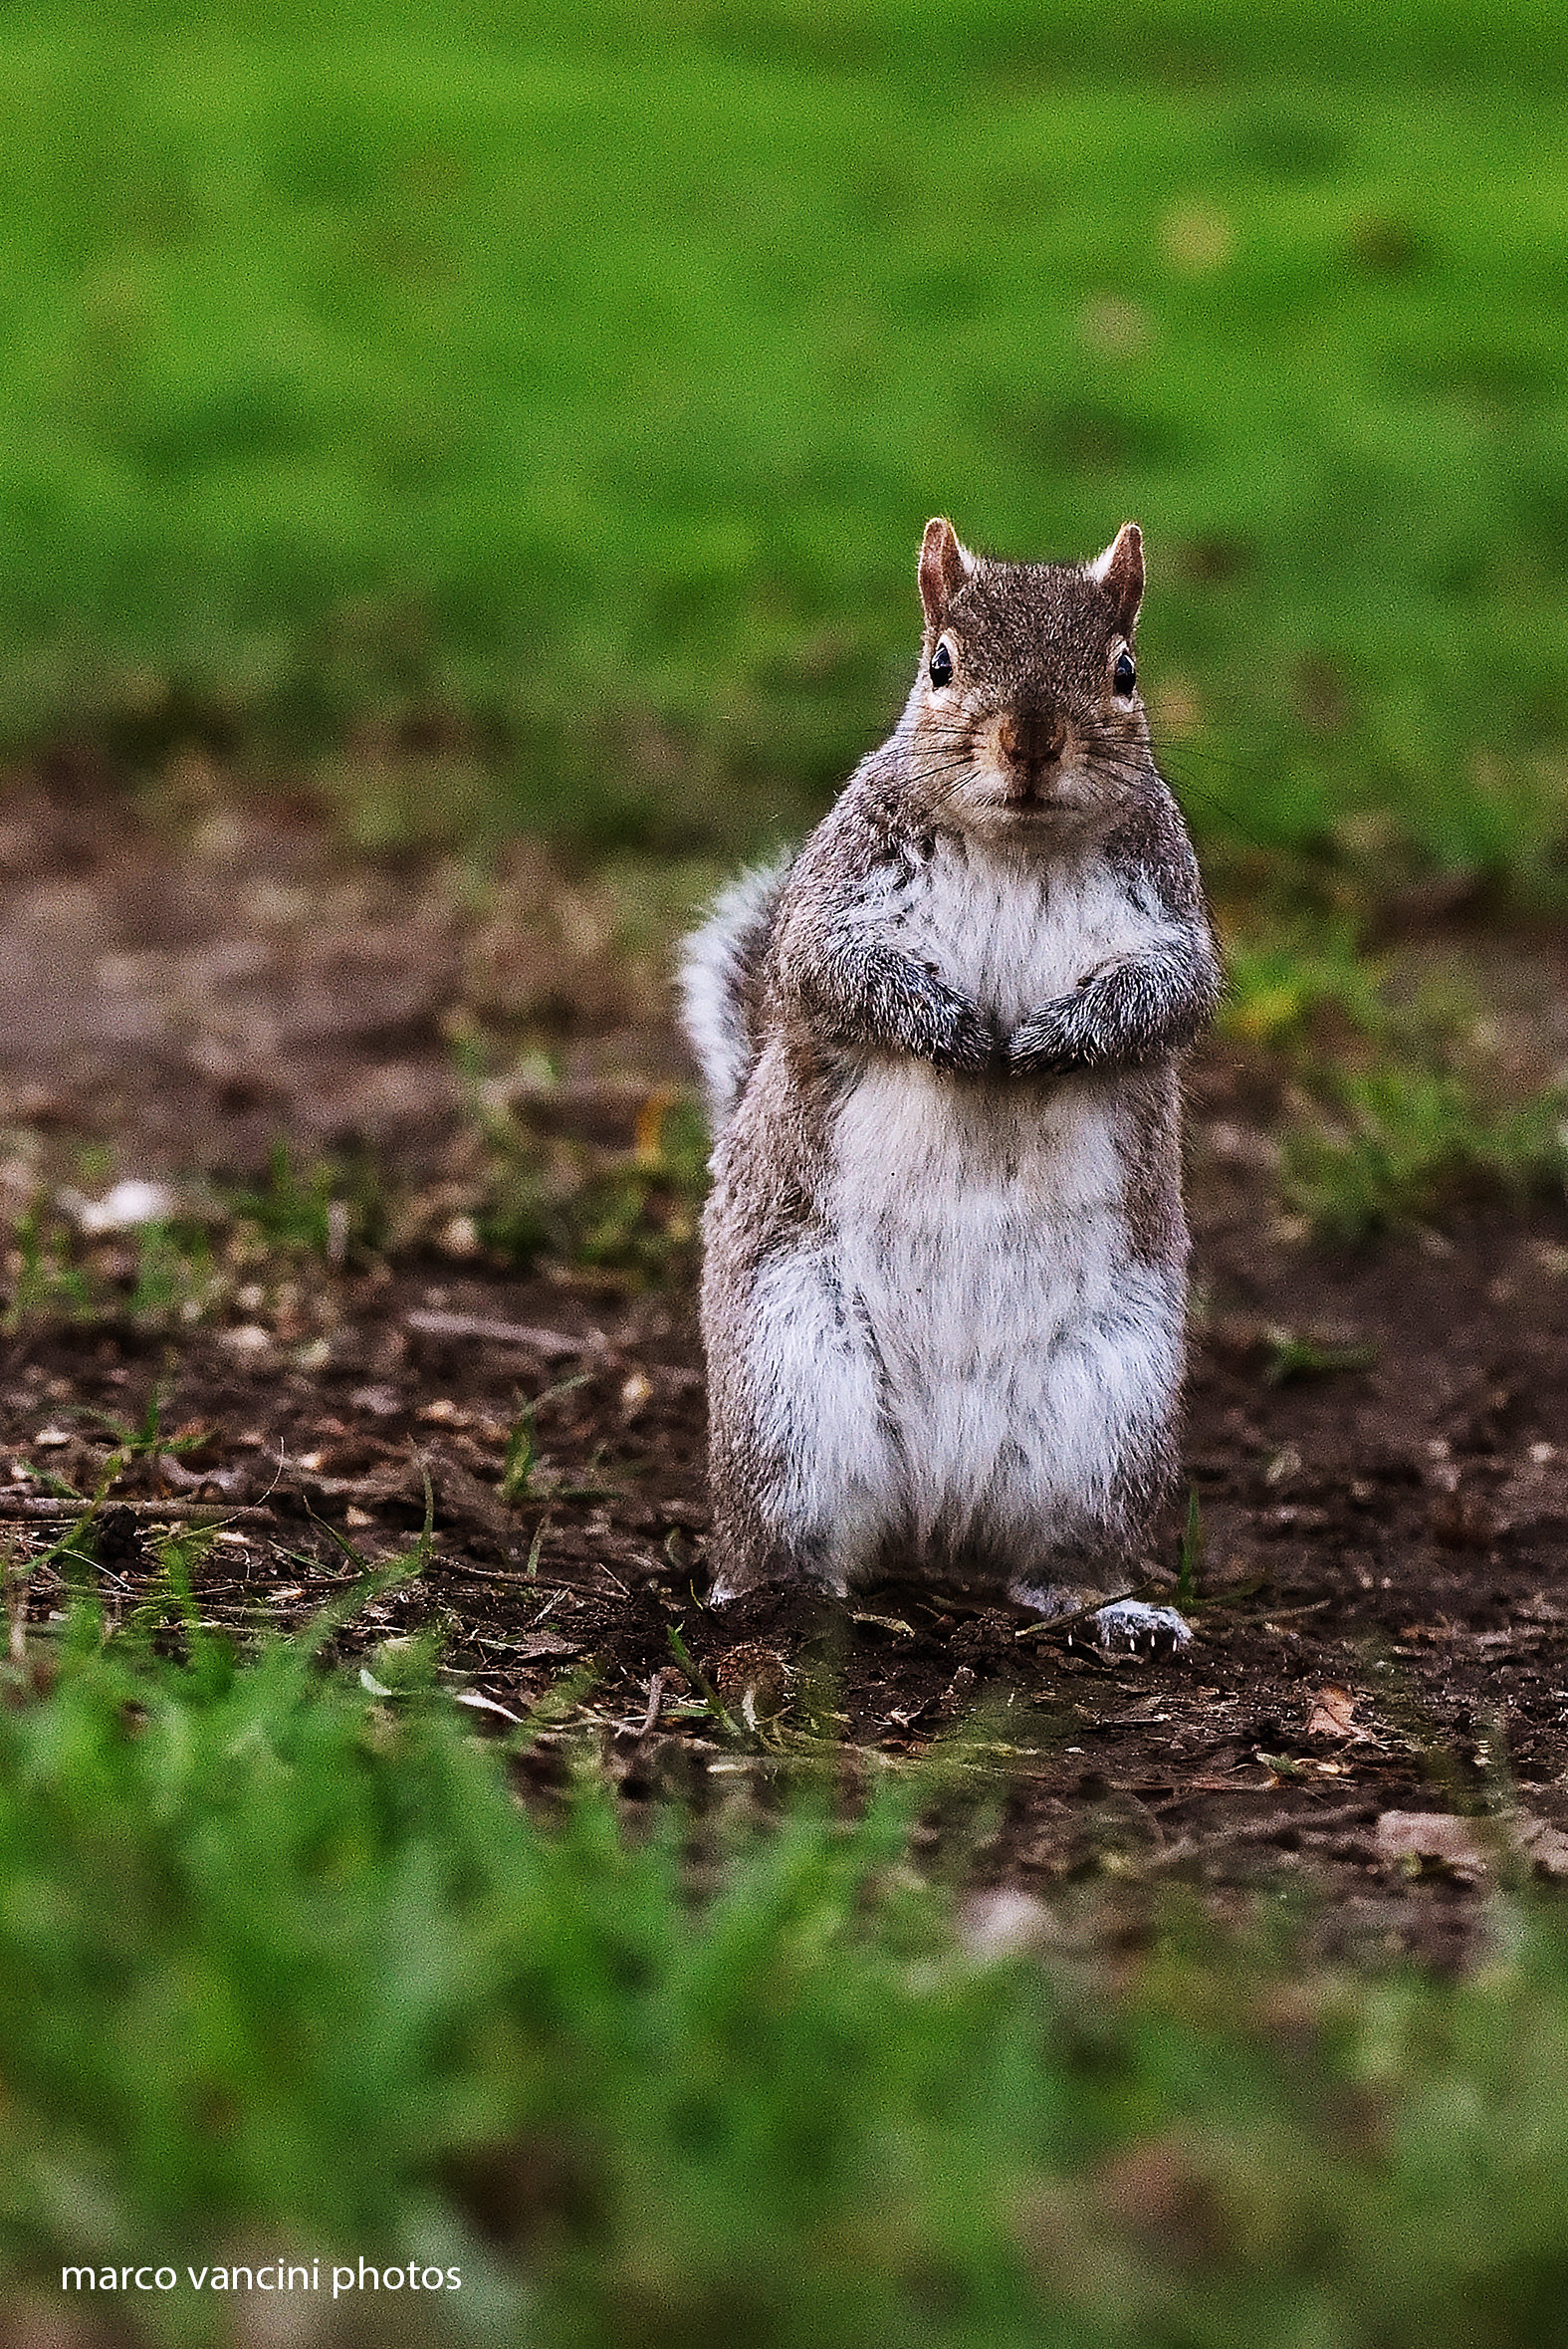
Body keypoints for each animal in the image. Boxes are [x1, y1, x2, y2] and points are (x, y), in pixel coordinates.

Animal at [679, 518, 1222, 1654]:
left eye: (1123, 669)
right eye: (940, 662)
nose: (1030, 740)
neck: (1017, 844)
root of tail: (937, 1510)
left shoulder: (1173, 917)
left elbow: (1168, 998)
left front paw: (1060, 1035)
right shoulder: (833, 900)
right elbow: (829, 969)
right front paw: (955, 1030)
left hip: (1107, 1416)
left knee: (1060, 1555)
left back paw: (1116, 1610)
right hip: (789, 1389)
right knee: (787, 1534)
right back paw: (780, 1596)